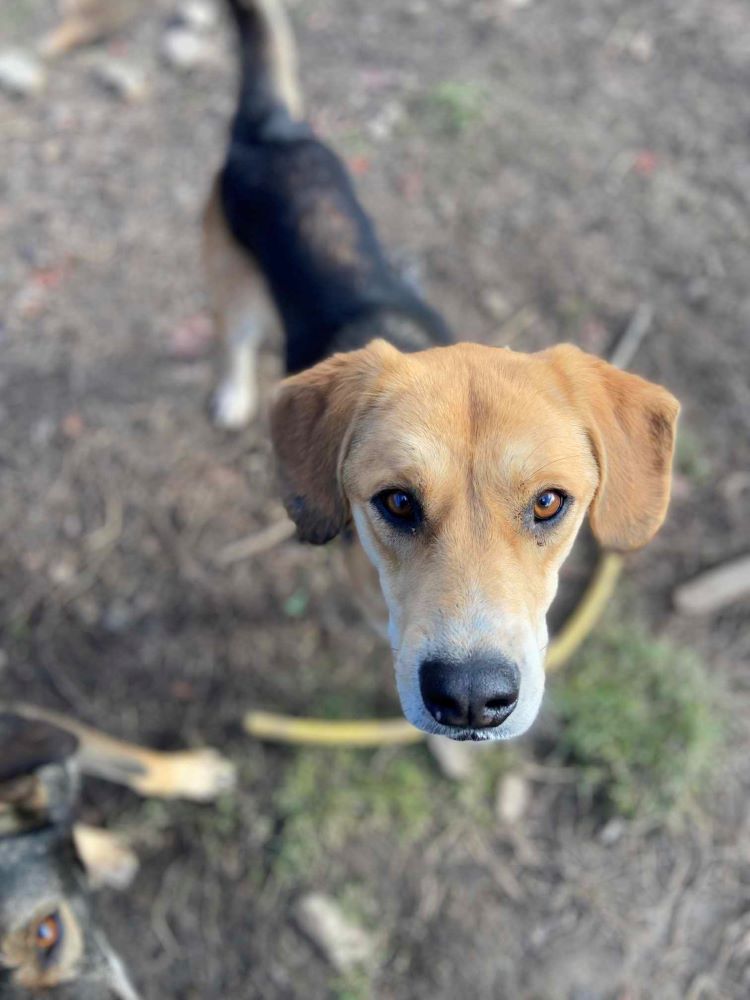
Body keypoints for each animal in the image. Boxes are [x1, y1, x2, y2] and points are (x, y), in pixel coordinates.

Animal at [206, 0, 680, 744]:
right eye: (397, 503)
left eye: (550, 503)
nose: (470, 699)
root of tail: (273, 129)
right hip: (232, 288)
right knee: (232, 340)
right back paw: (230, 396)